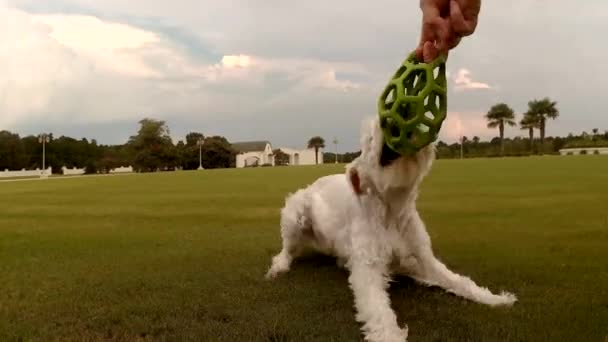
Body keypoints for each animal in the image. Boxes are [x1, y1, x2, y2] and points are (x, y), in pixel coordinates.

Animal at [264, 117, 516, 340]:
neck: (391, 209)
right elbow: (377, 309)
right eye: (369, 139)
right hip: (295, 212)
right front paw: (390, 336)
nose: (393, 122)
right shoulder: (367, 267)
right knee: (286, 249)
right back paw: (279, 267)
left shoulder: (421, 258)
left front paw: (495, 298)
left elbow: (458, 280)